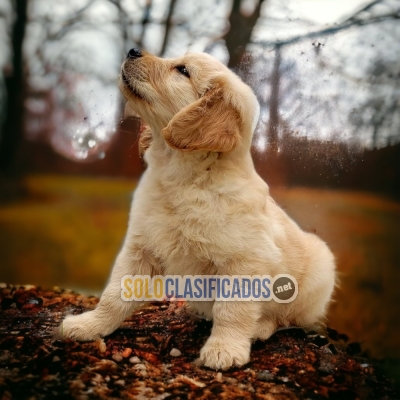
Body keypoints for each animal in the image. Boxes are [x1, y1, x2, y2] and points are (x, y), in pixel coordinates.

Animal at [58, 49, 334, 368]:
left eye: (182, 70)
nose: (133, 51)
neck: (183, 177)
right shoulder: (140, 248)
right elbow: (114, 294)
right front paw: (90, 325)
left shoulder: (245, 261)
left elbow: (233, 310)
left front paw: (225, 349)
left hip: (320, 269)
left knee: (288, 319)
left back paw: (261, 327)